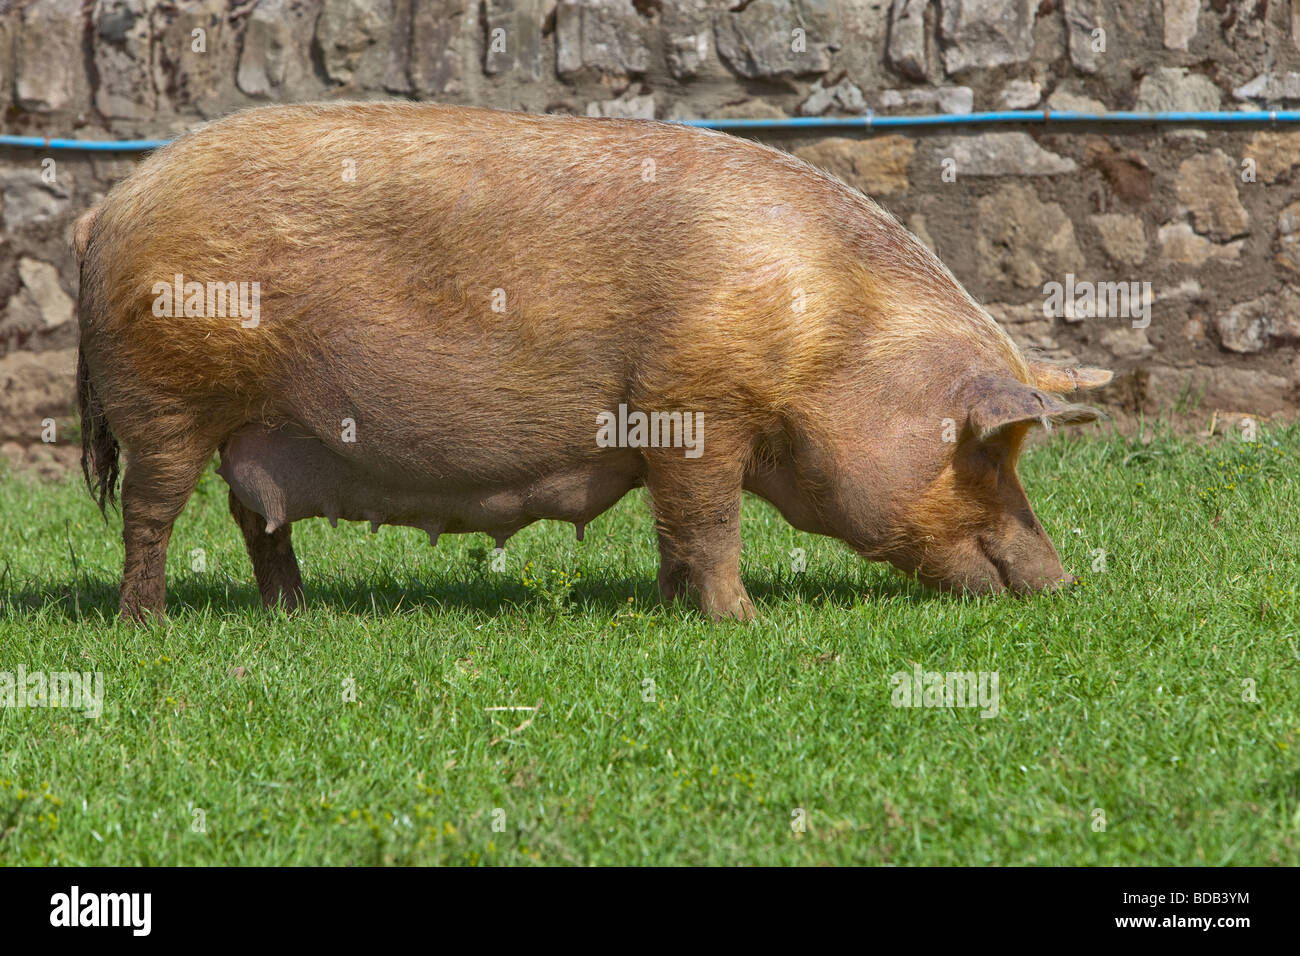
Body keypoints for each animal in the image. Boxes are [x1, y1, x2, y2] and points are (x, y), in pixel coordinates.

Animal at [73, 102, 1111, 623]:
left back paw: (296, 616)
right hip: (163, 393)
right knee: (154, 514)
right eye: (987, 452)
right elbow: (713, 521)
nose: (1063, 585)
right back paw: (146, 626)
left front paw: (668, 607)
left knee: (256, 518)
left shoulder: (668, 427)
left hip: (253, 425)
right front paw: (745, 623)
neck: (828, 336)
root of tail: (105, 207)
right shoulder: (698, 404)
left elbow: (675, 529)